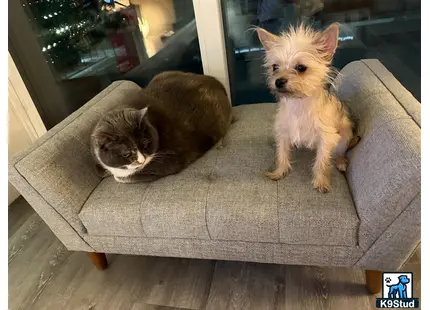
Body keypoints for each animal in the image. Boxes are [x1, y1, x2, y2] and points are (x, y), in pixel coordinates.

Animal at [91, 71, 232, 182]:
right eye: (125, 154)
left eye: (146, 143)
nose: (141, 160)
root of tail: (216, 82)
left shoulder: (173, 157)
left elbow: (124, 177)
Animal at [256, 24, 358, 193]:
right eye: (275, 67)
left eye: (301, 68)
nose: (278, 81)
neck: (299, 103)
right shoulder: (283, 132)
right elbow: (282, 154)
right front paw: (279, 172)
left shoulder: (326, 139)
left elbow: (321, 162)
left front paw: (321, 181)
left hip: (344, 137)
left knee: (339, 151)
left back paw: (341, 161)